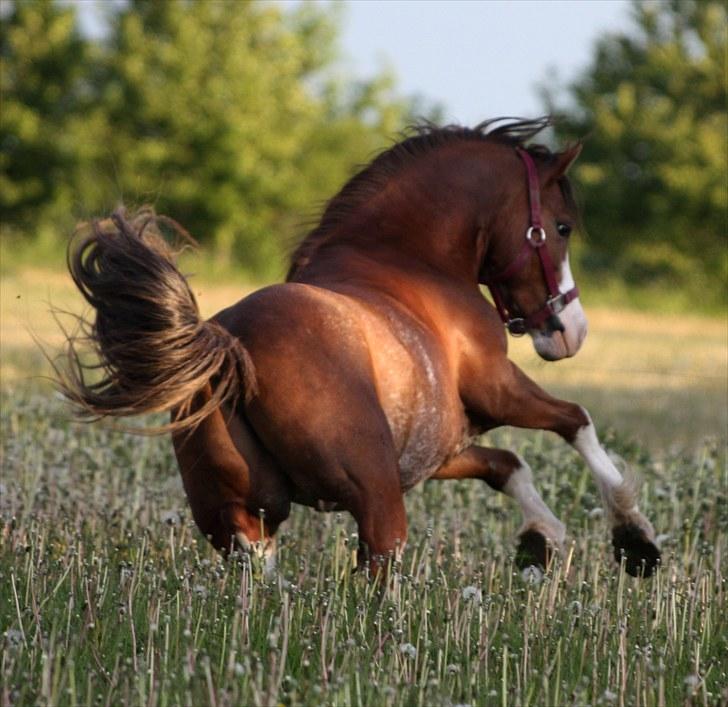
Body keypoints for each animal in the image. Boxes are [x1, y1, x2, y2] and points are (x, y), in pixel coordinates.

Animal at [58, 119, 660, 580]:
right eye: (561, 227)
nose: (570, 331)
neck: (408, 261)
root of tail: (229, 348)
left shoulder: (437, 449)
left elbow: (507, 465)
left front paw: (542, 540)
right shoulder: (497, 388)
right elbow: (575, 421)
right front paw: (634, 539)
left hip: (243, 520)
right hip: (375, 505)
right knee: (375, 581)